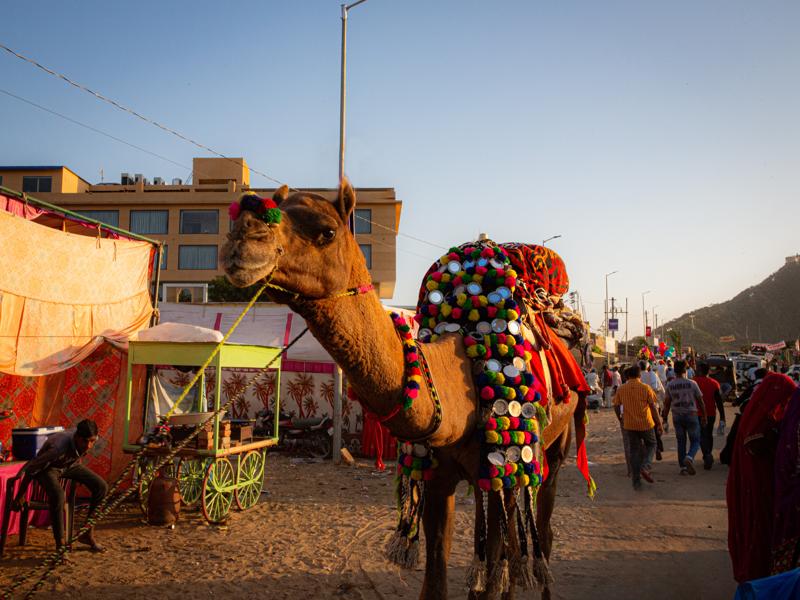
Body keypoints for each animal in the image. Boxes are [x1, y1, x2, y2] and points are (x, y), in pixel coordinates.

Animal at [222, 183, 584, 600]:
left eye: (327, 231)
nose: (242, 237)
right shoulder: (438, 475)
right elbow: (437, 576)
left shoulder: (505, 466)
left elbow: (497, 559)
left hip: (555, 444)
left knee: (540, 529)